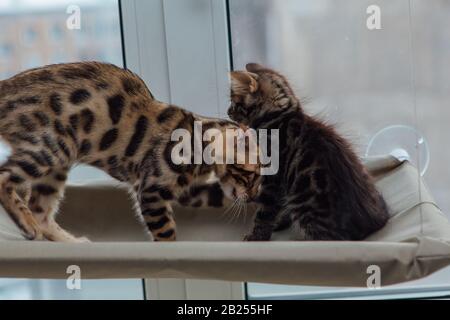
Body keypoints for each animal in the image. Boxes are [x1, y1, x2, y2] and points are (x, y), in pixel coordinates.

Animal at [0, 62, 260, 242]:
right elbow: (166, 233)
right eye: (250, 175)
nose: (252, 195)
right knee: (4, 178)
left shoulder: (188, 191)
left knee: (40, 211)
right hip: (50, 148)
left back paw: (71, 241)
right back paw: (27, 224)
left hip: (57, 164)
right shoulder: (151, 190)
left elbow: (217, 195)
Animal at [230, 63, 388, 240]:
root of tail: (370, 226)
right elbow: (282, 206)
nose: (228, 111)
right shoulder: (283, 183)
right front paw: (280, 223)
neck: (281, 117)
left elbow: (264, 212)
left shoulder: (272, 180)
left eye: (233, 103)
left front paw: (257, 236)